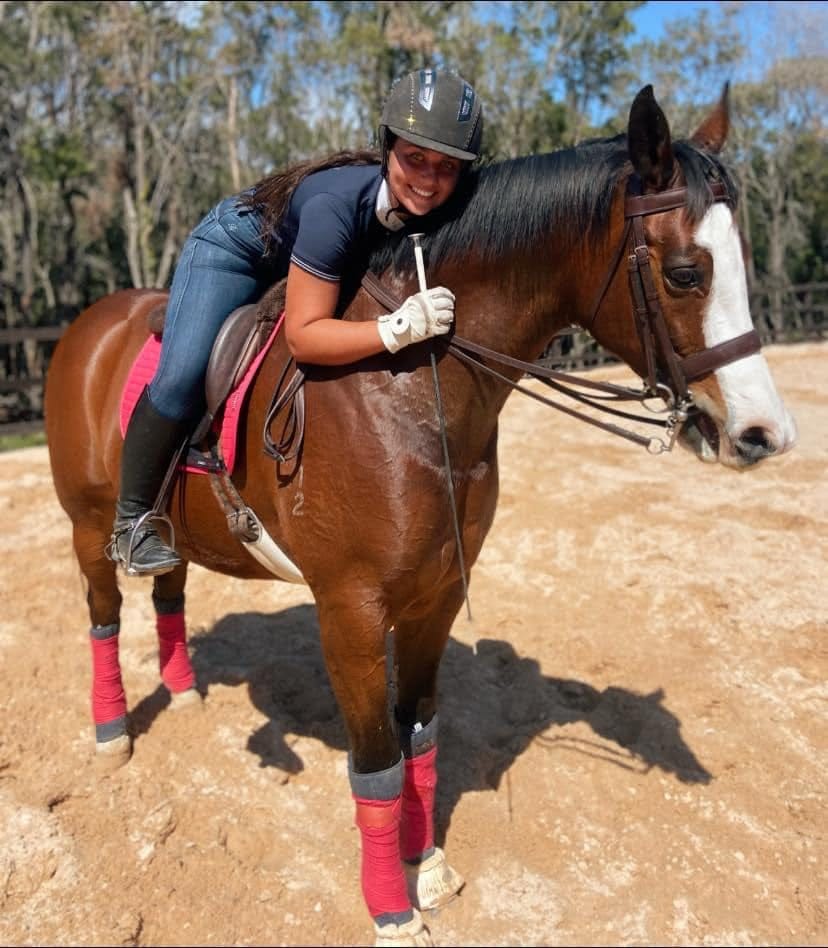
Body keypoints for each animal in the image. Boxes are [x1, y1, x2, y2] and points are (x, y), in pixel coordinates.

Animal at [44, 84, 796, 946]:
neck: (408, 389)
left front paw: (425, 860)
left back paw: (187, 690)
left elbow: (420, 739)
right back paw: (111, 732)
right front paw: (391, 908)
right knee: (104, 611)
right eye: (684, 273)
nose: (764, 434)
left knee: (171, 591)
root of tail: (89, 323)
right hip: (88, 524)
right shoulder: (352, 610)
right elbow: (375, 762)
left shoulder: (436, 595)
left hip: (184, 534)